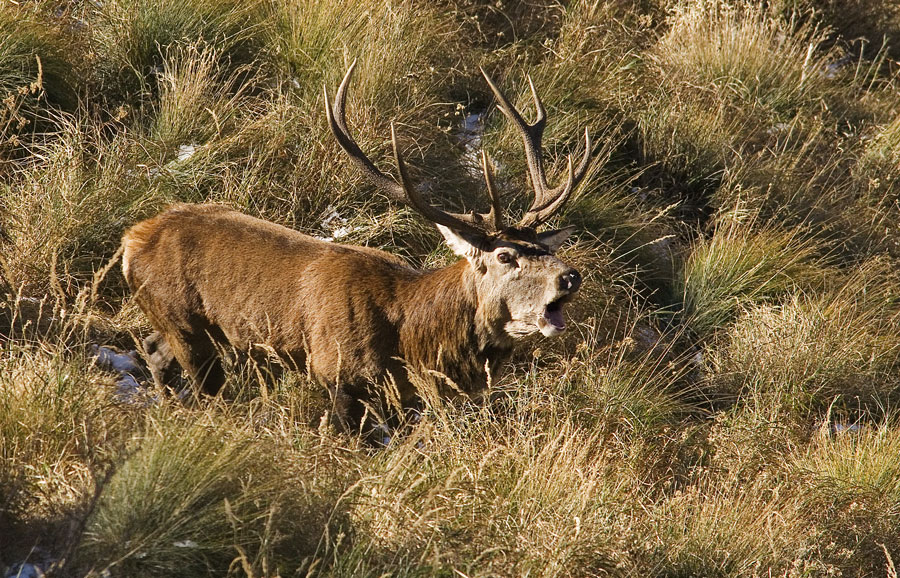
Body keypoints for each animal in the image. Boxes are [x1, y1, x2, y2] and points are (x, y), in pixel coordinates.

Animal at [121, 62, 591, 431]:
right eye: (505, 256)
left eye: (543, 248)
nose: (570, 276)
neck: (408, 337)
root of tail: (131, 240)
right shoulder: (337, 373)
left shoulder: (404, 399)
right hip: (184, 319)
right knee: (196, 379)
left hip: (185, 325)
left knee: (154, 350)